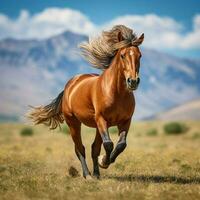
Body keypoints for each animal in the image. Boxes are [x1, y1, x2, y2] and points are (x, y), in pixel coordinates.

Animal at [28, 25, 144, 180]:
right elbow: (108, 144)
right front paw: (104, 161)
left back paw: (96, 174)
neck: (116, 93)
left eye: (139, 55)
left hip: (96, 126)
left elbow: (120, 145)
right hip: (73, 123)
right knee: (80, 148)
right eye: (122, 55)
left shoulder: (125, 121)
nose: (133, 81)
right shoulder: (101, 119)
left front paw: (104, 161)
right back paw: (87, 175)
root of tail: (70, 84)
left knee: (94, 147)